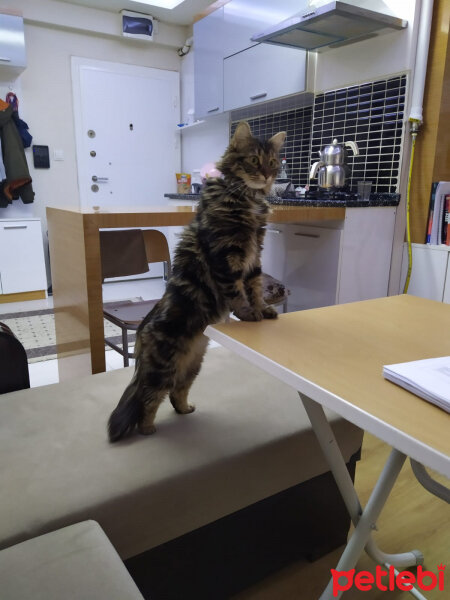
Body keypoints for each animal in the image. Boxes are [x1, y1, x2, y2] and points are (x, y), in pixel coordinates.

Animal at [107, 122, 284, 440]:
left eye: (273, 162)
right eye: (254, 160)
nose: (266, 174)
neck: (248, 199)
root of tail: (141, 331)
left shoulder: (254, 256)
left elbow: (254, 287)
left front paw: (263, 310)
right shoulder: (226, 255)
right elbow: (237, 291)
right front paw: (248, 313)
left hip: (192, 366)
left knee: (176, 393)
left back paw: (186, 410)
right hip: (163, 369)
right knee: (149, 399)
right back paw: (148, 429)